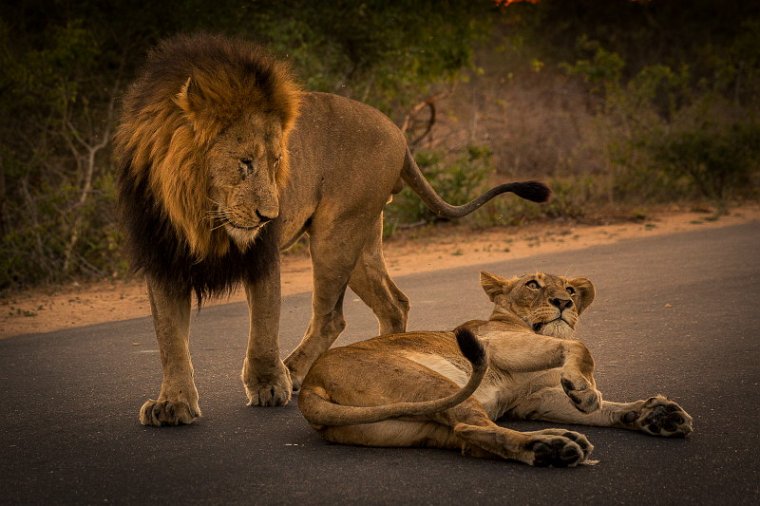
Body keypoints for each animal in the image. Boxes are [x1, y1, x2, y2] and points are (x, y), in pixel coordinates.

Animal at [114, 33, 552, 424]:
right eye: (245, 163)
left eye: (277, 161)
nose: (270, 216)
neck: (198, 212)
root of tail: (398, 132)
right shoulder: (162, 259)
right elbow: (170, 339)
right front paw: (172, 404)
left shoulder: (262, 255)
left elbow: (264, 325)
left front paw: (268, 384)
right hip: (362, 240)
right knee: (394, 302)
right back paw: (381, 350)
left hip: (336, 233)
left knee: (331, 316)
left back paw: (292, 373)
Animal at [300, 272, 692, 466]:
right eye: (533, 284)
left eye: (569, 288)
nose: (564, 302)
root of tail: (309, 387)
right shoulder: (496, 345)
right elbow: (579, 348)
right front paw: (584, 388)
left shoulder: (533, 400)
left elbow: (603, 407)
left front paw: (654, 414)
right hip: (431, 383)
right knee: (470, 426)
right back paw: (554, 444)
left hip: (411, 426)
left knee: (467, 437)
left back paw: (550, 449)